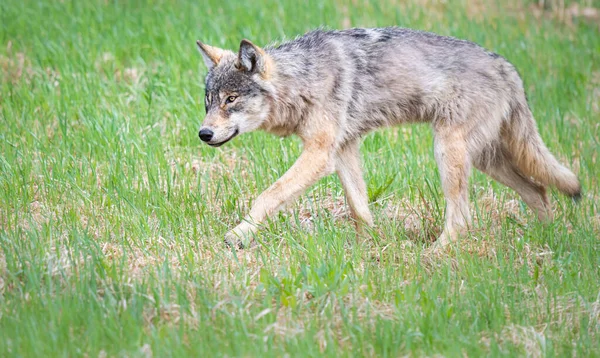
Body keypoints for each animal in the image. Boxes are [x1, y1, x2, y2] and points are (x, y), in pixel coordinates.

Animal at [196, 27, 580, 249]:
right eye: (209, 101)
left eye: (231, 99)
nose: (203, 133)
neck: (304, 79)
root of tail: (507, 67)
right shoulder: (343, 150)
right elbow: (359, 208)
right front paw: (369, 250)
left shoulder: (320, 154)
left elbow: (267, 196)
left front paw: (238, 235)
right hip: (487, 160)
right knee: (539, 191)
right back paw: (549, 239)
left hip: (449, 153)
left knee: (463, 217)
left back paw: (433, 256)